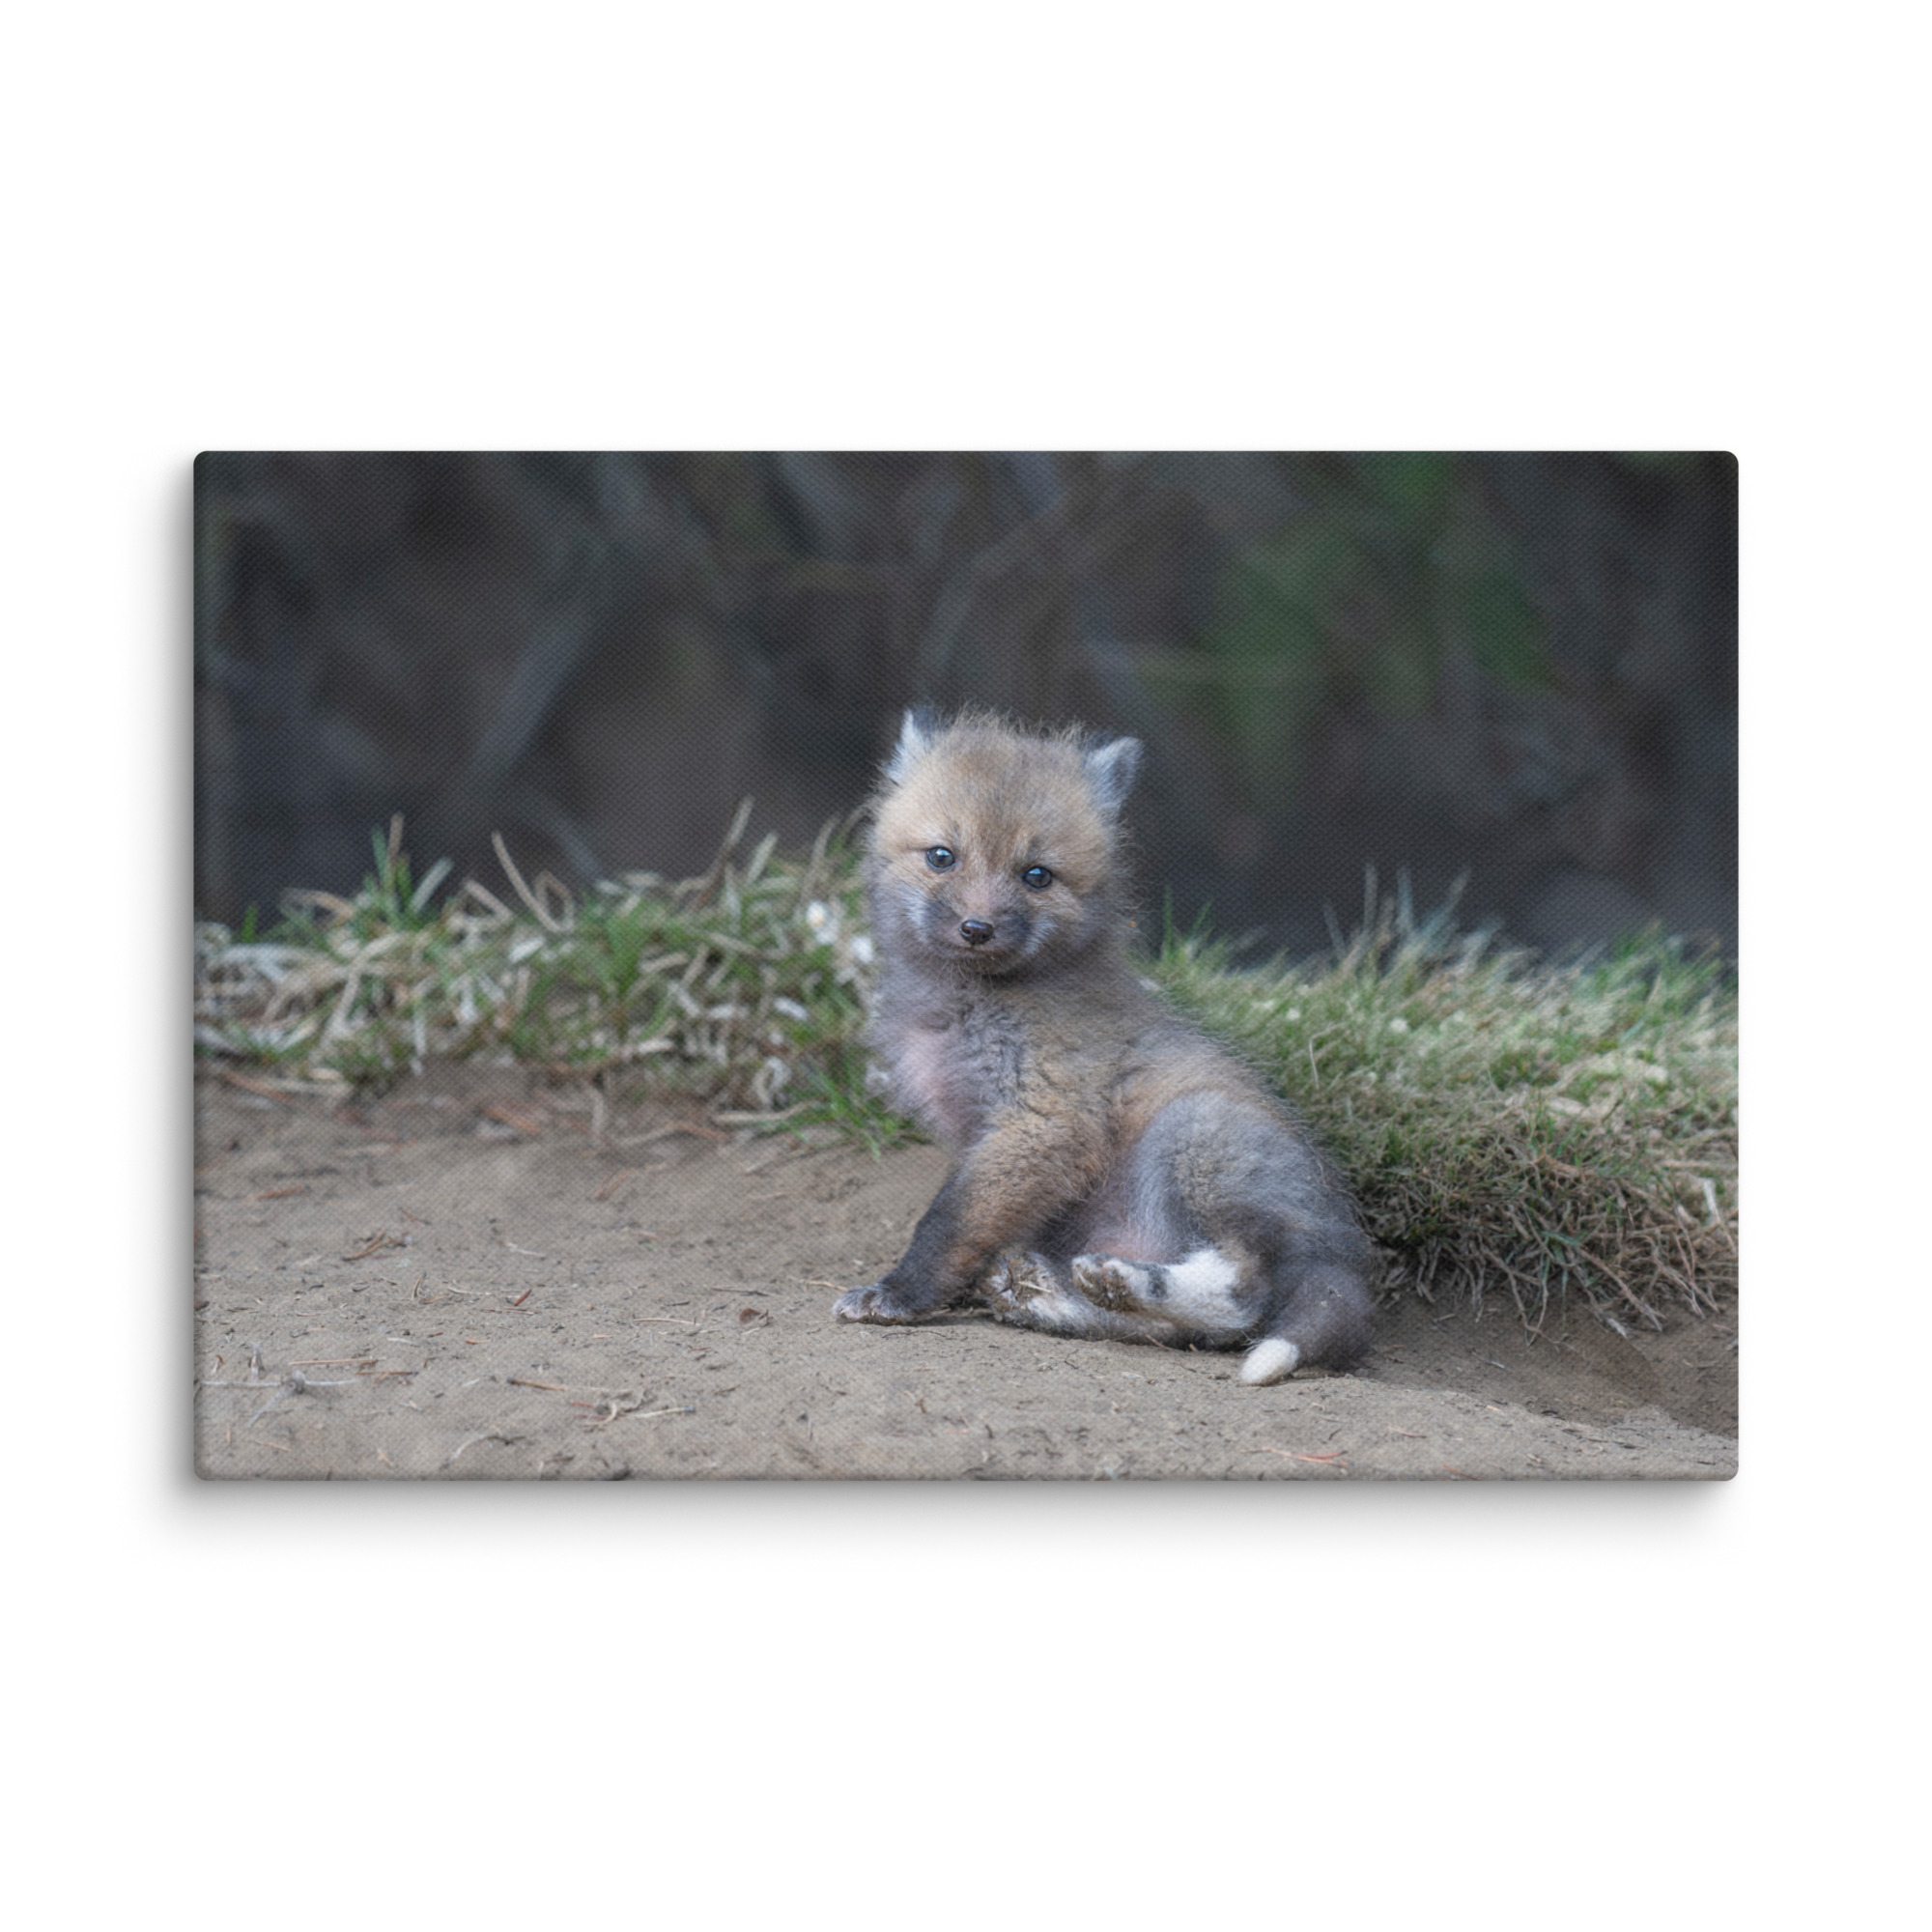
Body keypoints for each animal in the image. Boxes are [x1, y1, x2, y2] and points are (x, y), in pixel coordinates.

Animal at [832, 709, 1375, 1384]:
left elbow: (948, 1222)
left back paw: (1123, 1281)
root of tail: (1345, 1255)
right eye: (942, 857)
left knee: (1243, 1296)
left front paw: (901, 1294)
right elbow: (973, 1222)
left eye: (1037, 875)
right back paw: (1053, 1295)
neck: (967, 1006)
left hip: (1192, 1134)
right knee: (1182, 1332)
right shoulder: (987, 1137)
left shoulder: (1043, 1122)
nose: (976, 928)